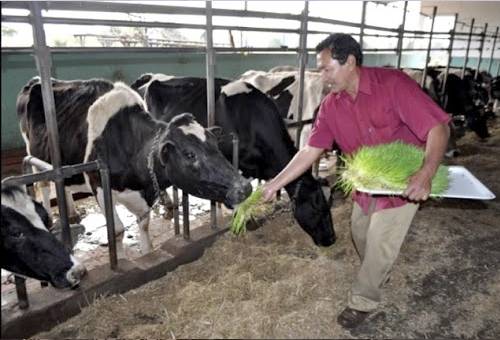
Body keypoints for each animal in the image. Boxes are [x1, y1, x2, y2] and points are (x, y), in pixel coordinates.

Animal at [17, 78, 252, 256]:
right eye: (189, 154)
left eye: (214, 143)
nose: (245, 187)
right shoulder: (98, 184)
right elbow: (117, 231)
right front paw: (121, 260)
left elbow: (144, 223)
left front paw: (147, 253)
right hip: (34, 154)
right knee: (43, 185)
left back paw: (73, 213)